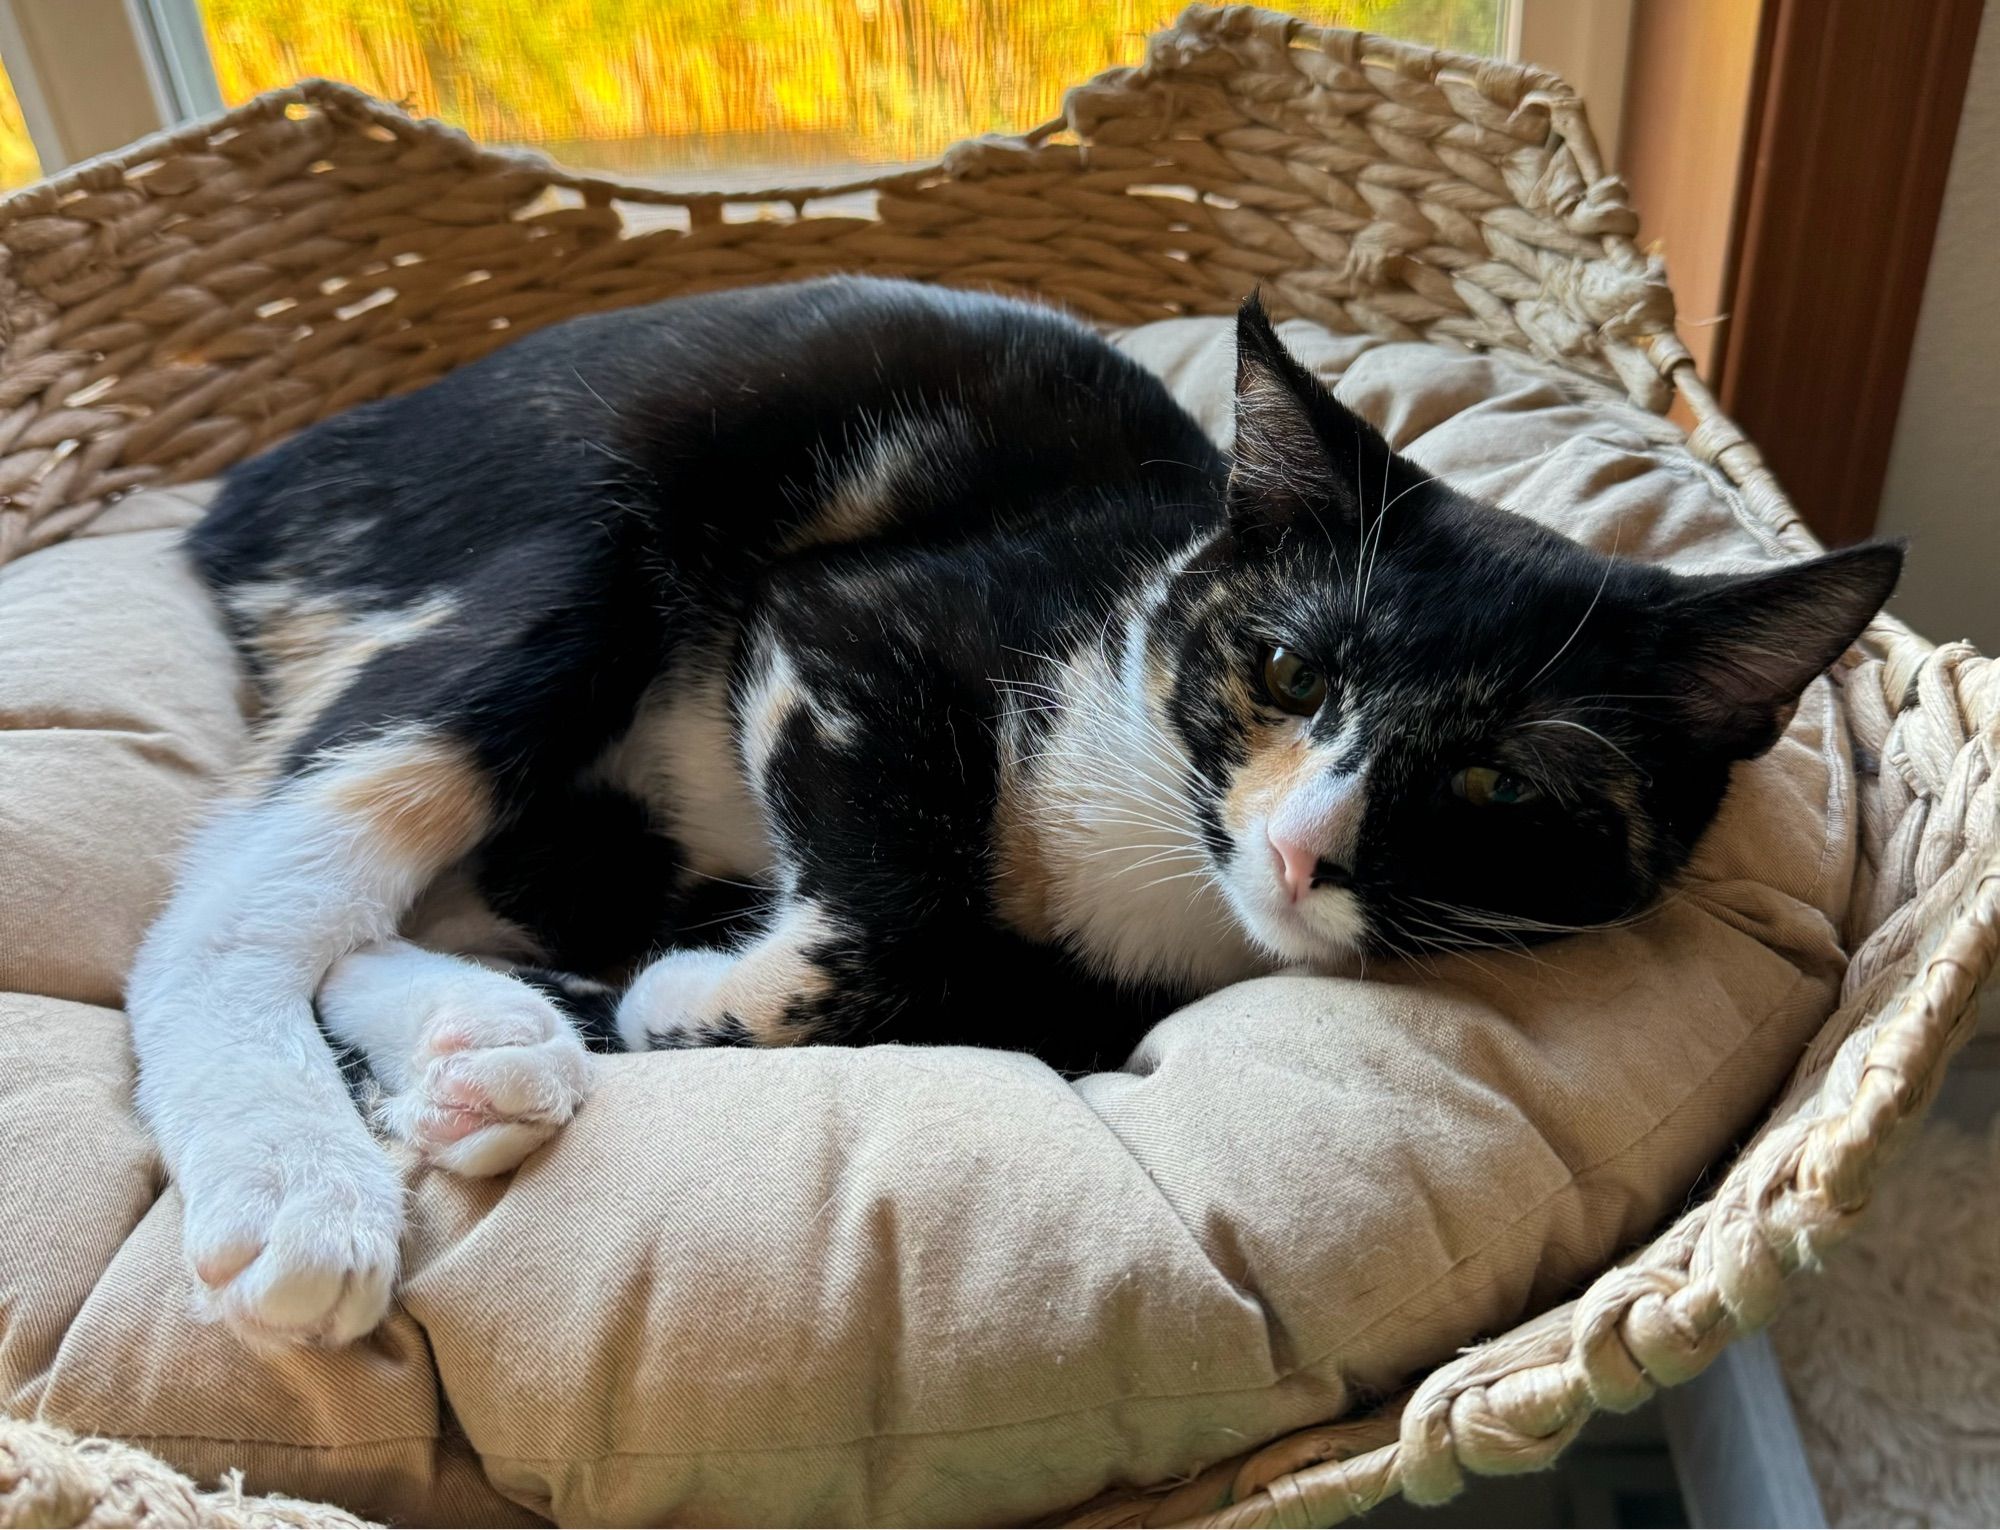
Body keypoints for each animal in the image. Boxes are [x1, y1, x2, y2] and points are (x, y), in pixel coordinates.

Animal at [133, 274, 1896, 1336]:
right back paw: (298, 1185)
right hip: (581, 552)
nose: (1300, 846)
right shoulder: (849, 625)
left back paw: (480, 1053)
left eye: (1496, 782)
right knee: (229, 913)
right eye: (1283, 664)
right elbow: (897, 909)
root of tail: (247, 492)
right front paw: (701, 1001)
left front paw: (628, 1009)